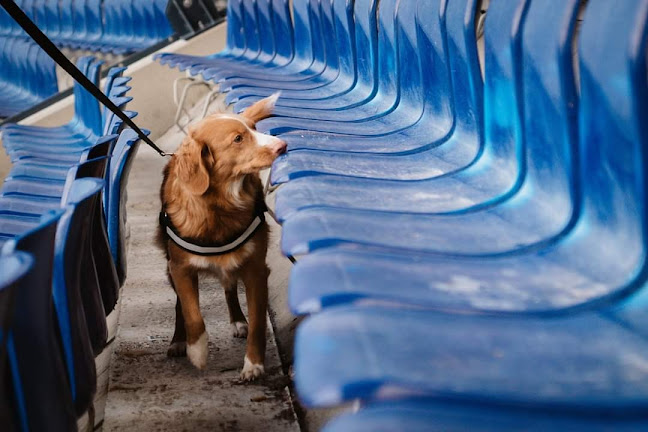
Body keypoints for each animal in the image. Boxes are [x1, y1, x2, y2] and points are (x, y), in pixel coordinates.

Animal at [156, 95, 284, 382]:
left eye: (253, 128)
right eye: (237, 139)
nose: (282, 146)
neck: (220, 205)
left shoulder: (256, 269)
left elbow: (258, 321)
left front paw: (254, 364)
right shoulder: (180, 268)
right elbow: (191, 313)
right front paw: (197, 352)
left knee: (229, 288)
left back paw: (238, 320)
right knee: (180, 305)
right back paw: (178, 341)